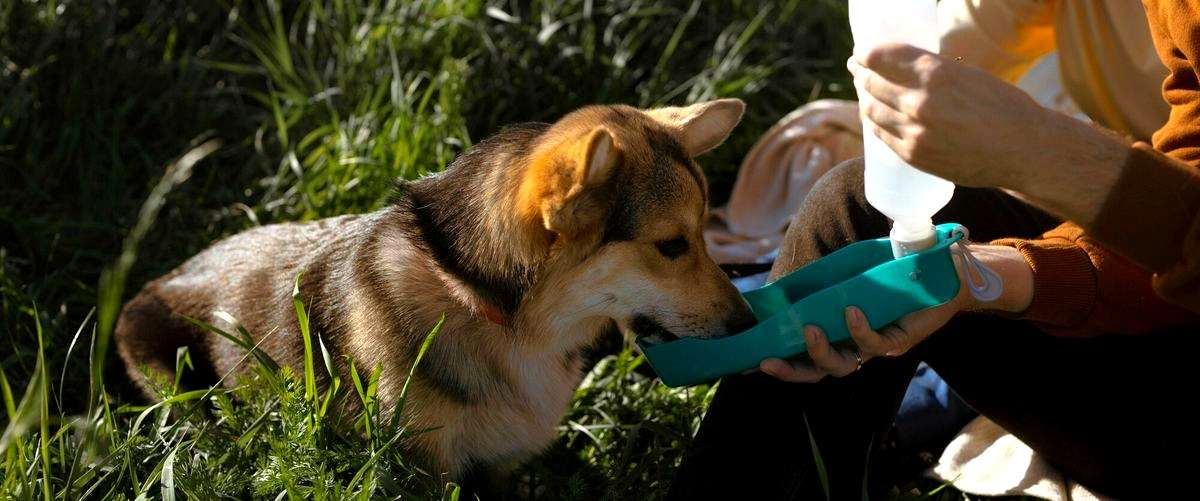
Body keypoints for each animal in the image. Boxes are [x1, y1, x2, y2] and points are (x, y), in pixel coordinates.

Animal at [119, 97, 758, 484]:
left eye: (705, 232)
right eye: (672, 245)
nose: (749, 326)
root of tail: (162, 276)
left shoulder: (500, 467)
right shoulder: (424, 468)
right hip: (172, 379)